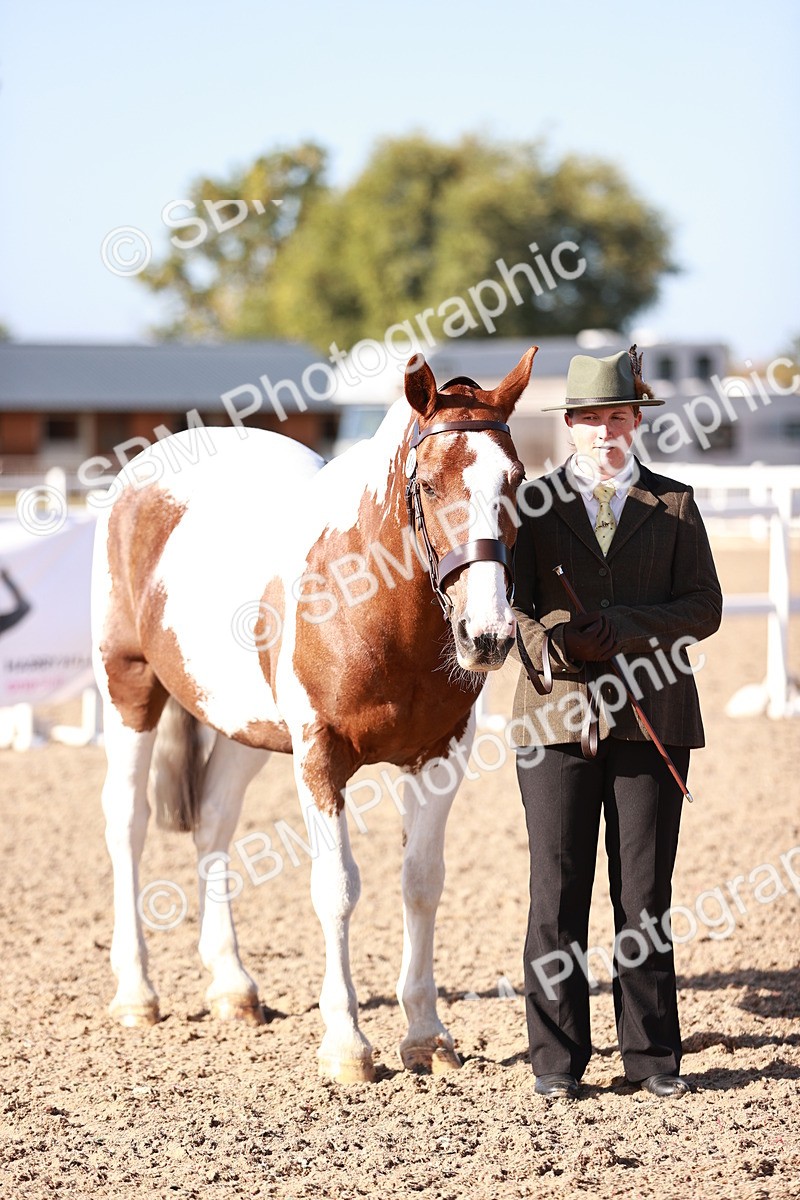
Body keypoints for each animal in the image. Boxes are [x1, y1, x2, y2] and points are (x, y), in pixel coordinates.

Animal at [91, 345, 537, 1083]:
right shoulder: (321, 757)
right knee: (126, 823)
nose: (489, 636)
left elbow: (422, 882)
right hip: (129, 690)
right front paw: (347, 1045)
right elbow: (337, 888)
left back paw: (232, 987)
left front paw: (426, 1036)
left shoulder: (440, 756)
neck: (371, 603)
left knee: (213, 822)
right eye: (429, 485)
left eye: (518, 481)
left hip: (243, 728)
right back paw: (135, 993)